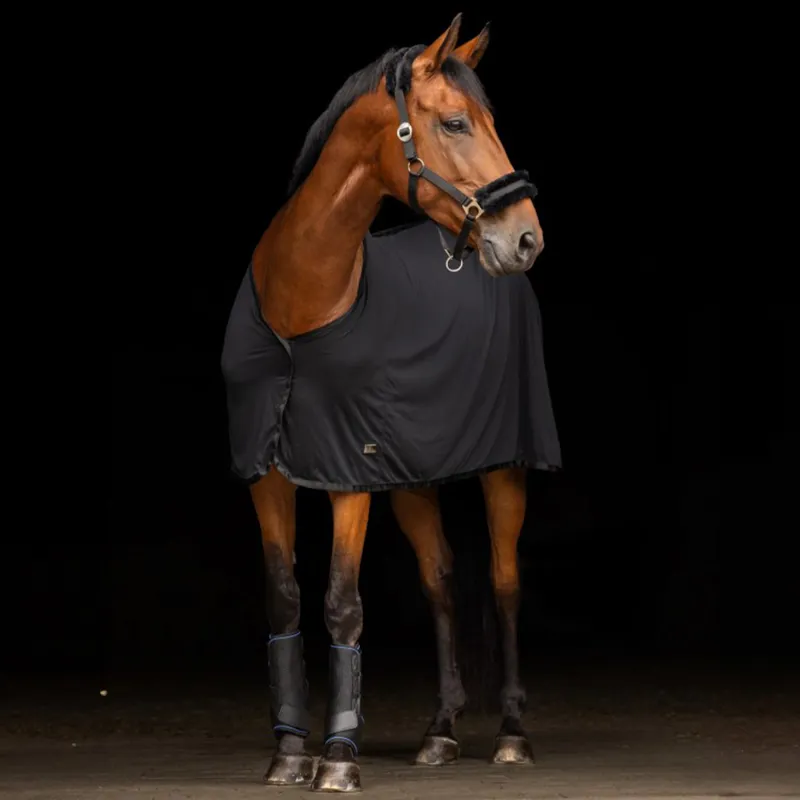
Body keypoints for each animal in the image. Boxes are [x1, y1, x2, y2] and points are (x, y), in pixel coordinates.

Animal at [221, 13, 561, 792]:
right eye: (457, 121)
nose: (525, 237)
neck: (302, 306)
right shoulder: (268, 474)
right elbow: (285, 597)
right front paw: (290, 752)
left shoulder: (347, 475)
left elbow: (343, 604)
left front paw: (339, 758)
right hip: (411, 481)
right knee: (440, 582)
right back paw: (439, 731)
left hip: (506, 471)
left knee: (504, 583)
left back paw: (511, 734)